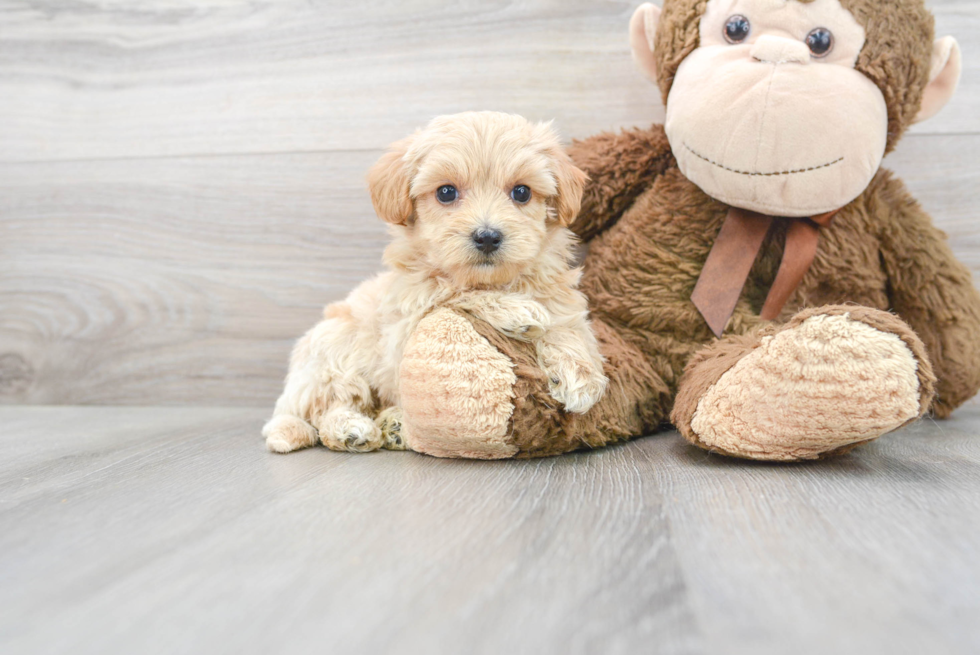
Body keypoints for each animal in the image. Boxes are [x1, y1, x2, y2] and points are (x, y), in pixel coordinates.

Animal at [264, 110, 608, 454]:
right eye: (446, 192)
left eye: (521, 192)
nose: (487, 236)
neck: (491, 280)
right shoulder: (409, 316)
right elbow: (454, 292)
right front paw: (517, 310)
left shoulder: (559, 296)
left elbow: (565, 325)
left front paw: (580, 374)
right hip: (335, 348)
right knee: (328, 407)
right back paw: (349, 429)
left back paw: (393, 425)